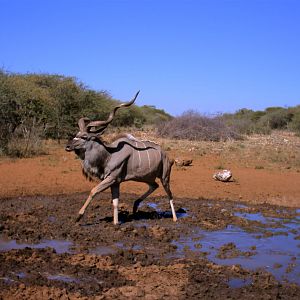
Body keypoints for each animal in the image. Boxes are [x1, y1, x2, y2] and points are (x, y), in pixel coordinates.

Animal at [64, 91, 177, 225]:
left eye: (84, 137)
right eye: (76, 135)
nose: (68, 146)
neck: (109, 155)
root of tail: (166, 155)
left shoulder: (111, 178)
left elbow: (93, 191)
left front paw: (78, 216)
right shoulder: (115, 182)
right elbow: (115, 202)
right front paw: (116, 223)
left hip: (165, 177)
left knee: (169, 194)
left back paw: (175, 218)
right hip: (147, 178)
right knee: (154, 186)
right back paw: (135, 205)